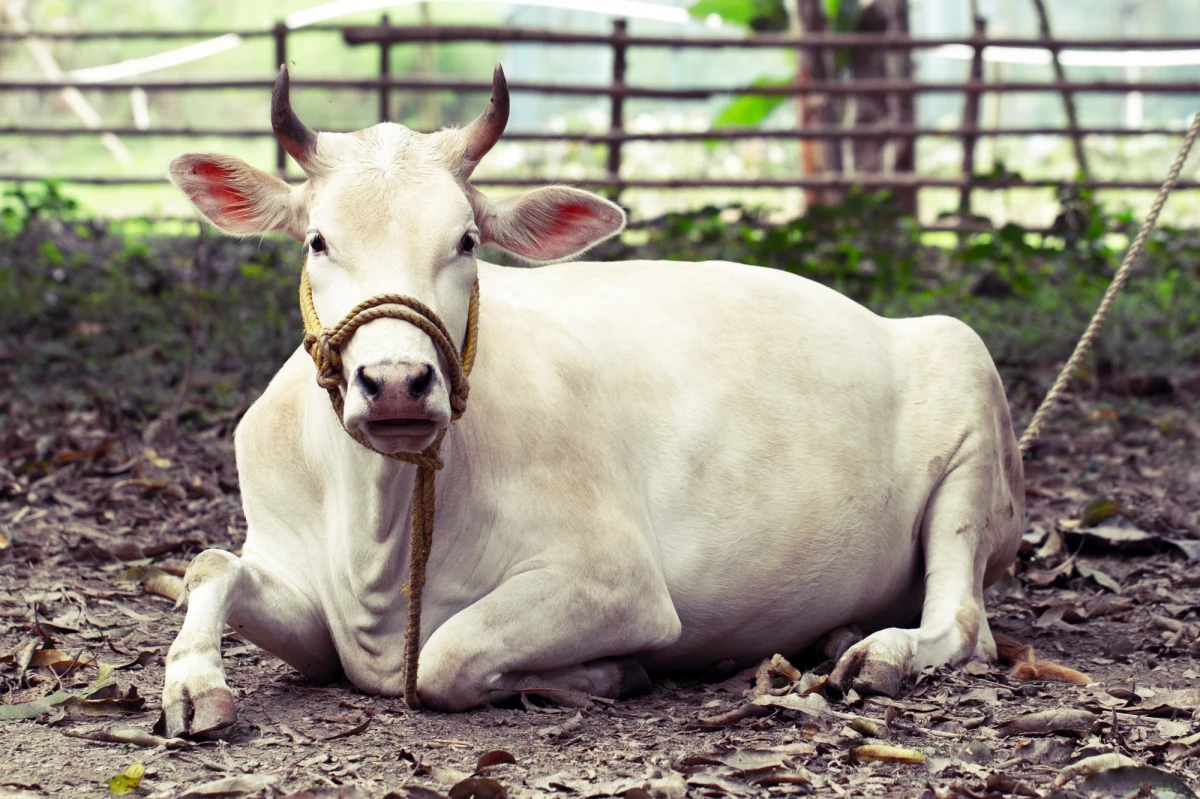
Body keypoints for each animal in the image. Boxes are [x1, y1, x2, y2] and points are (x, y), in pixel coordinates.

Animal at [160, 65, 1024, 736]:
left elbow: (446, 656)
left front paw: (605, 673)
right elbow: (211, 563)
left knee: (964, 619)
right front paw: (193, 683)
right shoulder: (301, 594)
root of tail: (890, 321)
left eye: (467, 241)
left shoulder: (617, 583)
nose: (399, 382)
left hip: (971, 399)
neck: (379, 530)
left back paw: (881, 650)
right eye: (317, 240)